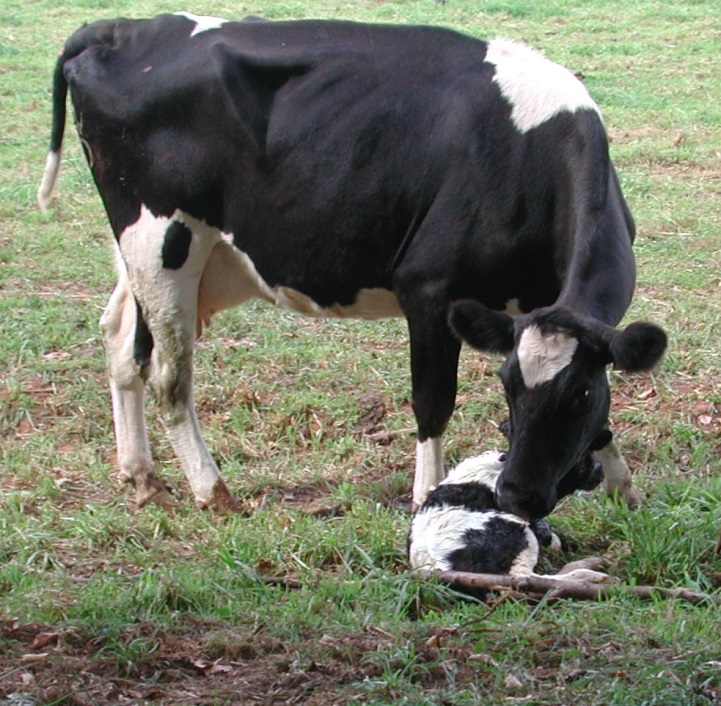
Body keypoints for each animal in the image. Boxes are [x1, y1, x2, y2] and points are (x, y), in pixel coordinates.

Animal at [39, 13, 668, 516]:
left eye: (579, 395)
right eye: (508, 383)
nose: (516, 495)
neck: (533, 153)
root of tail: (121, 27)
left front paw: (623, 488)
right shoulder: (429, 288)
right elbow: (433, 401)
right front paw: (426, 497)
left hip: (162, 257)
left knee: (121, 340)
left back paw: (142, 477)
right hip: (160, 240)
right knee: (169, 377)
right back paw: (210, 491)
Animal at [408, 442, 604, 592]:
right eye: (582, 458)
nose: (600, 469)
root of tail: (440, 567)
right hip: (513, 532)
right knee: (523, 577)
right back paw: (590, 576)